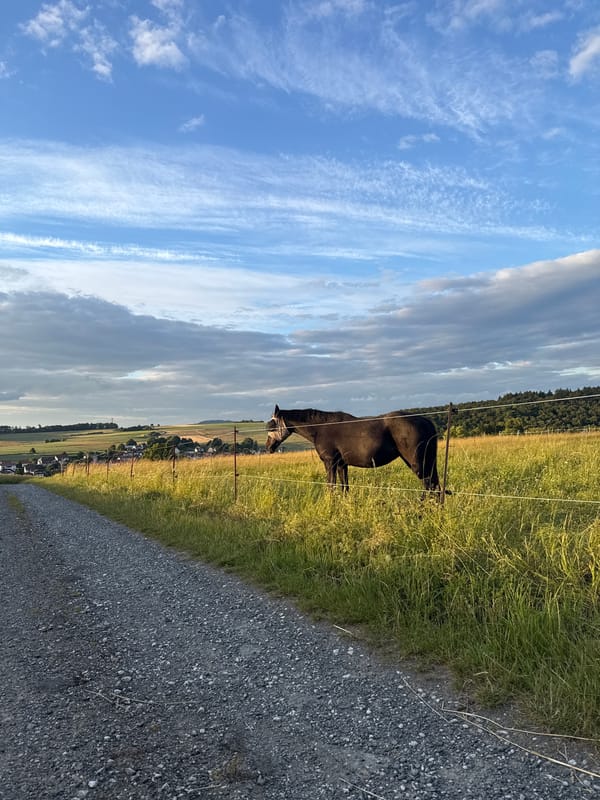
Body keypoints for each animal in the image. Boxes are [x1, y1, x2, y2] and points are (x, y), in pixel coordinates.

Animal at [265, 405, 443, 496]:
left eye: (271, 425)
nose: (268, 447)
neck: (320, 428)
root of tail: (425, 420)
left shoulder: (330, 463)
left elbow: (331, 487)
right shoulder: (341, 465)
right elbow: (344, 488)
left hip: (417, 464)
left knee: (429, 487)